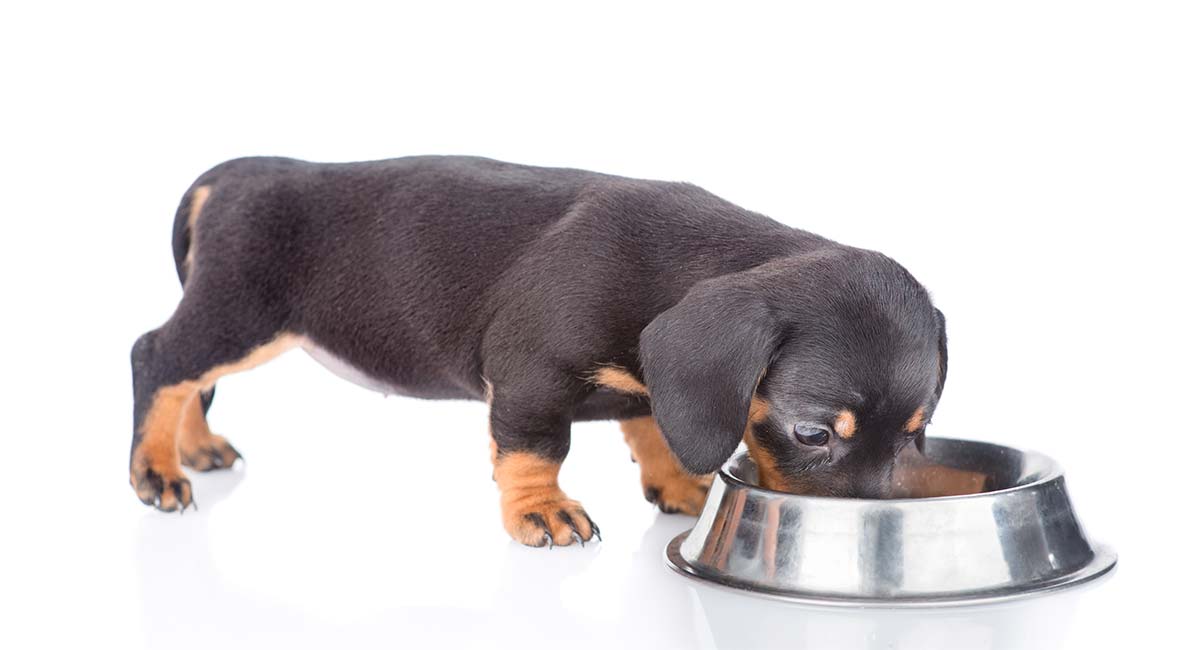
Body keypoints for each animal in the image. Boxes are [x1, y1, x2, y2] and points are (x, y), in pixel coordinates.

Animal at [131, 155, 945, 546]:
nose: (868, 530)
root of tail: (232, 174)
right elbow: (535, 450)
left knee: (187, 378)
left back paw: (194, 449)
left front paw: (678, 484)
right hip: (240, 313)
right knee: (158, 360)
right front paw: (543, 512)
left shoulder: (646, 383)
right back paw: (157, 471)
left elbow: (652, 428)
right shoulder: (530, 377)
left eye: (918, 435)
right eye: (812, 432)